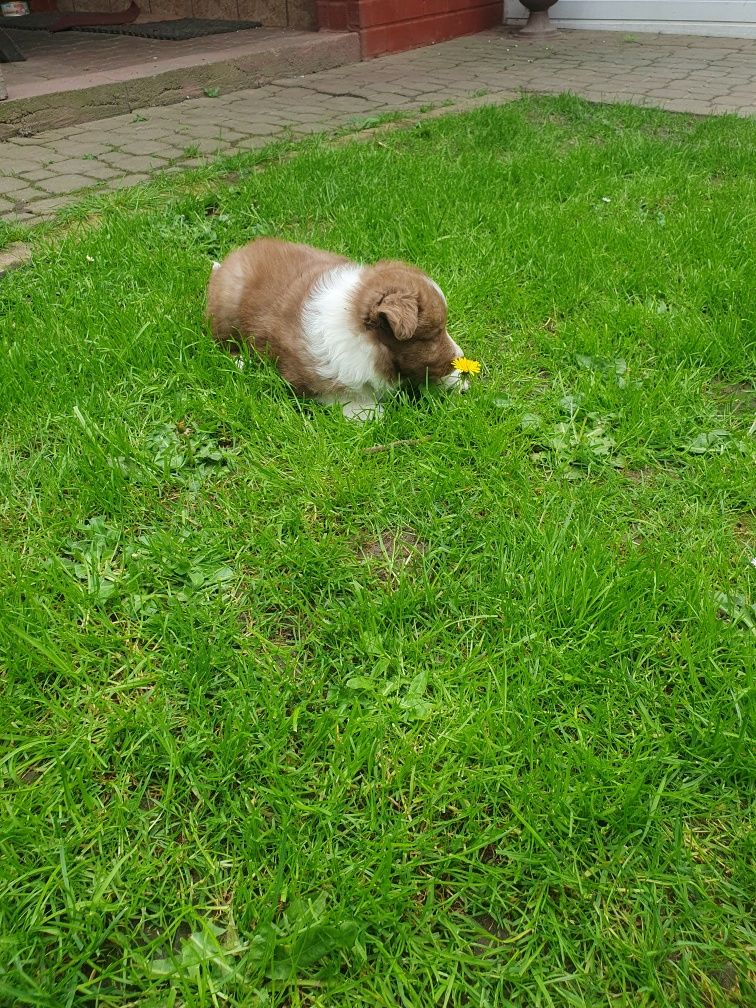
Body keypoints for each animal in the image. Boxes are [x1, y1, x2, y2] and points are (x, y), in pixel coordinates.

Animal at [207, 235, 467, 417]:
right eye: (433, 334)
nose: (460, 355)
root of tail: (231, 260)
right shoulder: (311, 380)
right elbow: (351, 398)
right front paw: (372, 415)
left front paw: (457, 380)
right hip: (227, 308)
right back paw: (240, 362)